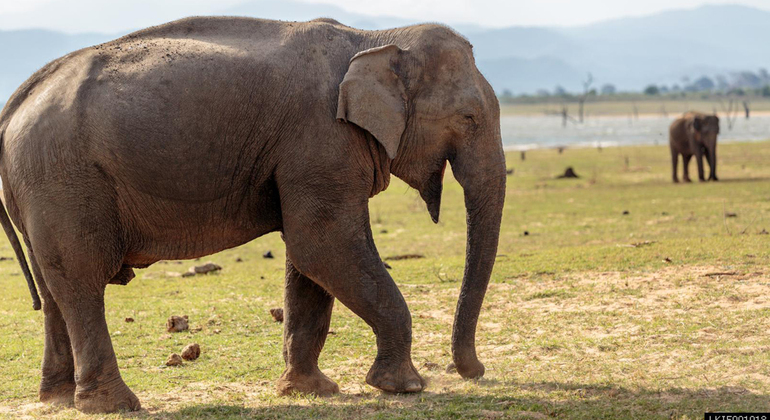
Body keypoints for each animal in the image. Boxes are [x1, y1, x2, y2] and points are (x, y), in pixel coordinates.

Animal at [0, 15, 504, 414]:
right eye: (469, 118)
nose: (474, 371)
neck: (374, 38)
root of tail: (17, 101)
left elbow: (309, 260)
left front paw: (309, 391)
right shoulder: (321, 138)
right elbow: (322, 243)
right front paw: (405, 388)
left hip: (40, 188)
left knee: (54, 288)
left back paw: (58, 400)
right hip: (63, 180)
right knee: (82, 281)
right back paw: (115, 405)